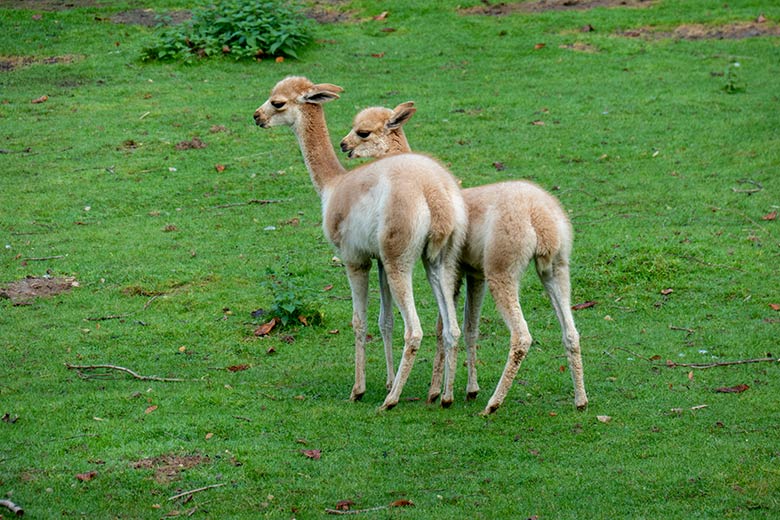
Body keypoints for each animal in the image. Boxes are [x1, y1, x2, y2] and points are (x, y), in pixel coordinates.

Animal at [254, 78, 470, 410]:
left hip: (399, 256)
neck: (332, 185)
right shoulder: (377, 258)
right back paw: (444, 396)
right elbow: (385, 321)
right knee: (450, 327)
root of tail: (434, 196)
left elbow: (359, 321)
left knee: (415, 330)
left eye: (277, 102)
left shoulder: (354, 257)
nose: (257, 116)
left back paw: (391, 401)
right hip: (438, 260)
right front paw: (388, 380)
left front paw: (359, 389)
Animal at [338, 103, 588, 416]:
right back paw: (580, 401)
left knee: (521, 336)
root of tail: (540, 217)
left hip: (502, 267)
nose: (343, 145)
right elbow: (468, 327)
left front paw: (437, 393)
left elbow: (442, 327)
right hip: (556, 267)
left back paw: (493, 405)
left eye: (363, 132)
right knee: (571, 332)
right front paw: (468, 389)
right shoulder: (473, 273)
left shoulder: (454, 270)